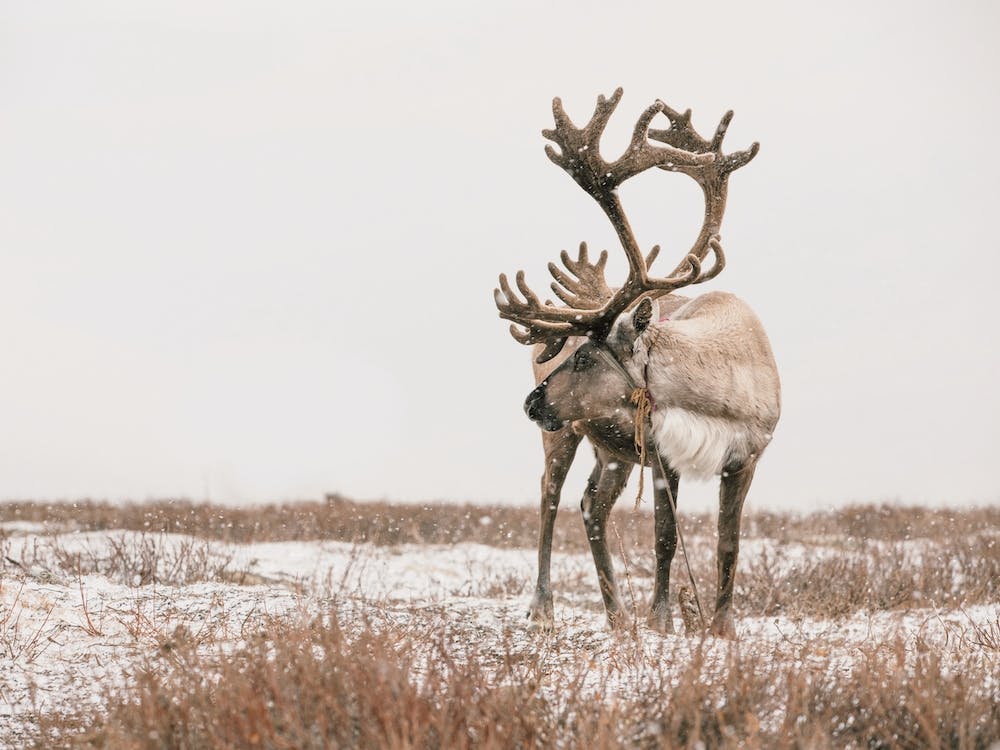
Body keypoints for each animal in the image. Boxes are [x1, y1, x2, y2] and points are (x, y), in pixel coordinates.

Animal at [495, 89, 779, 638]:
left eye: (587, 356)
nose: (529, 402)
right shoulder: (665, 457)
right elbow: (665, 539)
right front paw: (662, 620)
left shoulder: (746, 458)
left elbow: (728, 545)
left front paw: (722, 628)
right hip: (564, 433)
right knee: (550, 496)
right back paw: (544, 607)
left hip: (614, 452)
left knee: (592, 505)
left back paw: (616, 613)